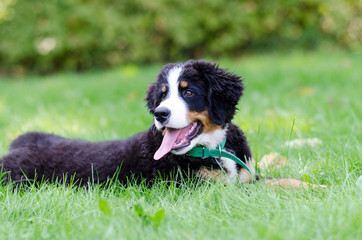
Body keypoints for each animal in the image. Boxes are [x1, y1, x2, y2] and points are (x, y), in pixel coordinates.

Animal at [0, 60, 258, 186]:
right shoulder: (198, 187)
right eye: (162, 95)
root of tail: (22, 141)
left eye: (188, 92)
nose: (160, 113)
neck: (213, 147)